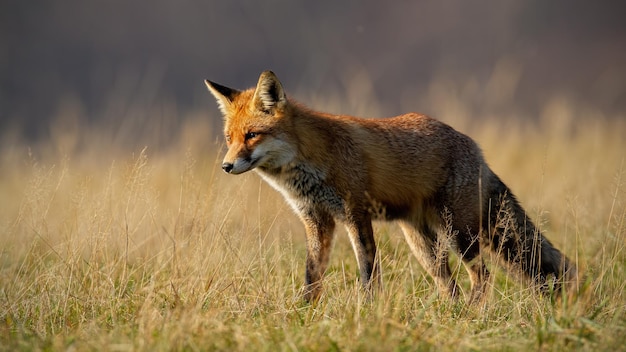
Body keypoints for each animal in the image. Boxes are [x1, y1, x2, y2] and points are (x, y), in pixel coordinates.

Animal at [204, 70, 576, 302]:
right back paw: (451, 316)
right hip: (423, 245)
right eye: (229, 138)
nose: (226, 166)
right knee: (451, 285)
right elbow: (312, 277)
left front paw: (368, 310)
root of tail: (474, 146)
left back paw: (472, 314)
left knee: (482, 276)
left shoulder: (355, 213)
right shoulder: (317, 220)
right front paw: (303, 314)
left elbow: (368, 273)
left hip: (460, 234)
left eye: (253, 135)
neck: (311, 160)